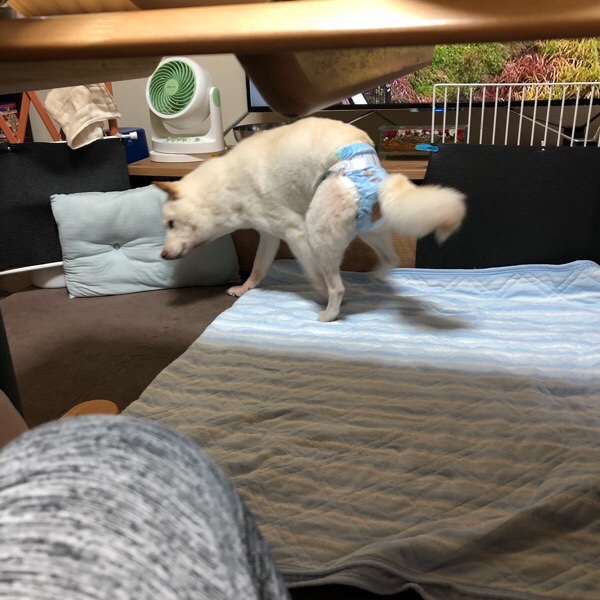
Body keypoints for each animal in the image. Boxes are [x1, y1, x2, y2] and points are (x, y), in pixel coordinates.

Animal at [154, 117, 466, 322]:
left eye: (170, 224)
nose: (163, 255)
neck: (221, 191)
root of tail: (374, 170)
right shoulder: (269, 235)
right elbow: (257, 268)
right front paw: (244, 288)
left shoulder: (294, 230)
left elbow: (313, 274)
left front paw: (319, 291)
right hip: (368, 231)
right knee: (392, 260)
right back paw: (376, 276)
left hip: (319, 233)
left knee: (337, 285)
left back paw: (329, 312)